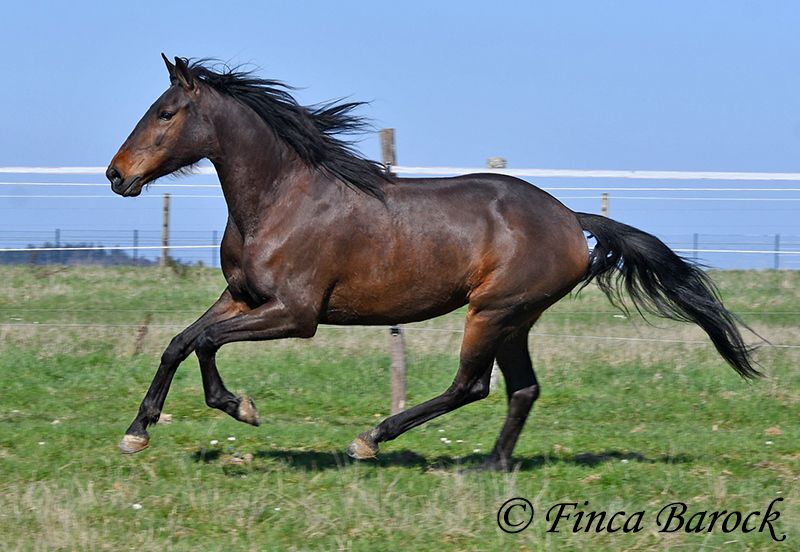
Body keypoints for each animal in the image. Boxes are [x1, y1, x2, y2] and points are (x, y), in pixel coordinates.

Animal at [106, 55, 760, 470]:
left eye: (165, 112)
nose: (116, 175)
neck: (280, 199)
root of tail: (572, 220)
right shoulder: (242, 296)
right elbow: (182, 341)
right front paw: (145, 431)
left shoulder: (295, 313)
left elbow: (203, 341)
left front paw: (236, 408)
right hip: (514, 319)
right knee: (522, 388)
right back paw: (491, 466)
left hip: (492, 312)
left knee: (471, 385)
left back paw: (371, 439)